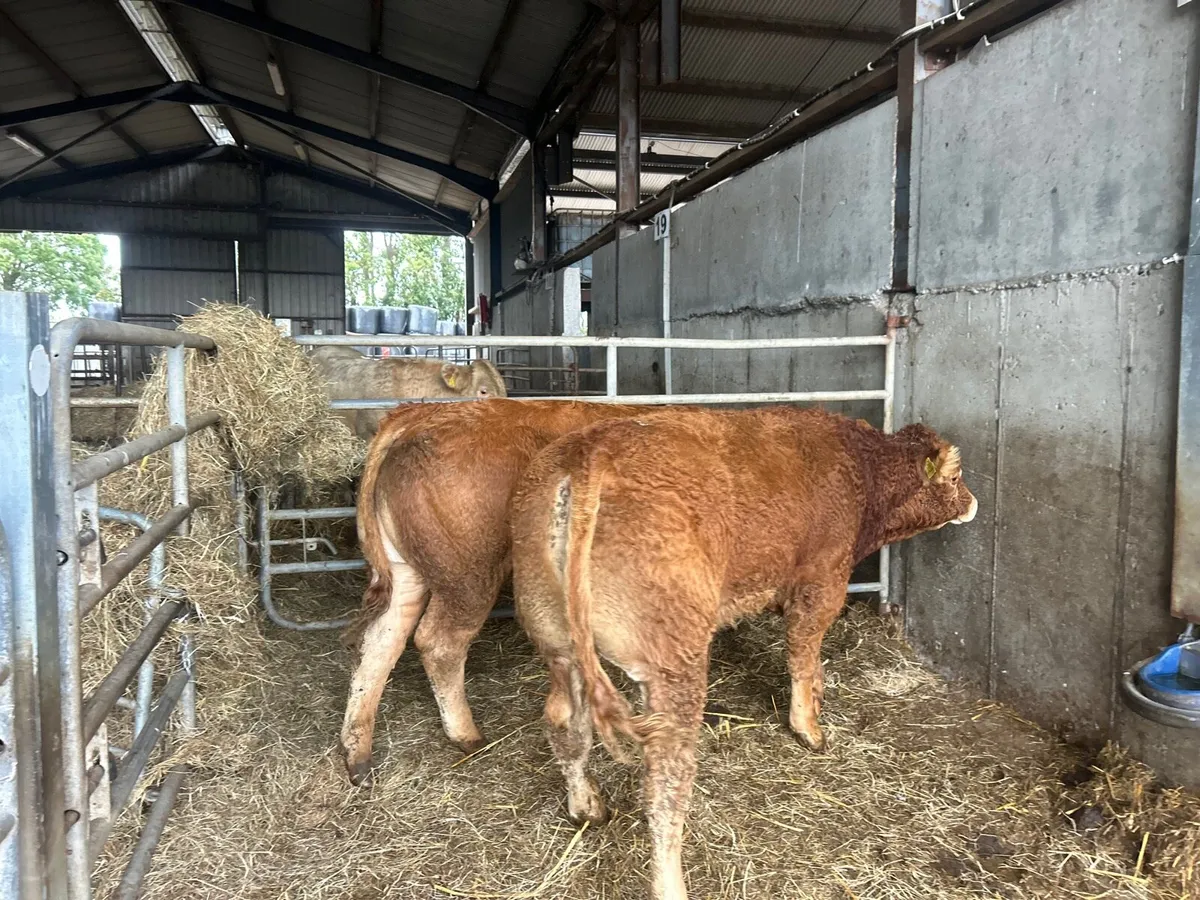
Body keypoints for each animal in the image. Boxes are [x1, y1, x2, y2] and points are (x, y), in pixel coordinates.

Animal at [340, 397, 678, 786]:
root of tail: (419, 415)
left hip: (404, 570)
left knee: (381, 640)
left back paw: (359, 758)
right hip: (471, 572)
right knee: (438, 642)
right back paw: (468, 736)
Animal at [510, 408, 978, 900]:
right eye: (956, 476)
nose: (972, 503)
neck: (860, 468)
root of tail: (591, 452)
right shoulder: (821, 581)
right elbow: (802, 652)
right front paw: (809, 728)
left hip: (557, 641)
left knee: (566, 721)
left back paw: (586, 806)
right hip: (674, 661)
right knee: (664, 784)